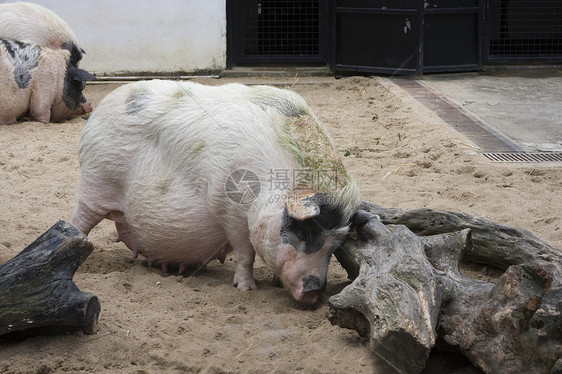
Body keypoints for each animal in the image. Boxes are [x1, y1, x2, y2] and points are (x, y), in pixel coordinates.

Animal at [73, 80, 358, 306]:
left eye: (334, 246)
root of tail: (98, 112)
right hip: (95, 181)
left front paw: (275, 283)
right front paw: (247, 290)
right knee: (80, 220)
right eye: (303, 231)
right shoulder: (229, 210)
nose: (314, 291)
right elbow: (245, 254)